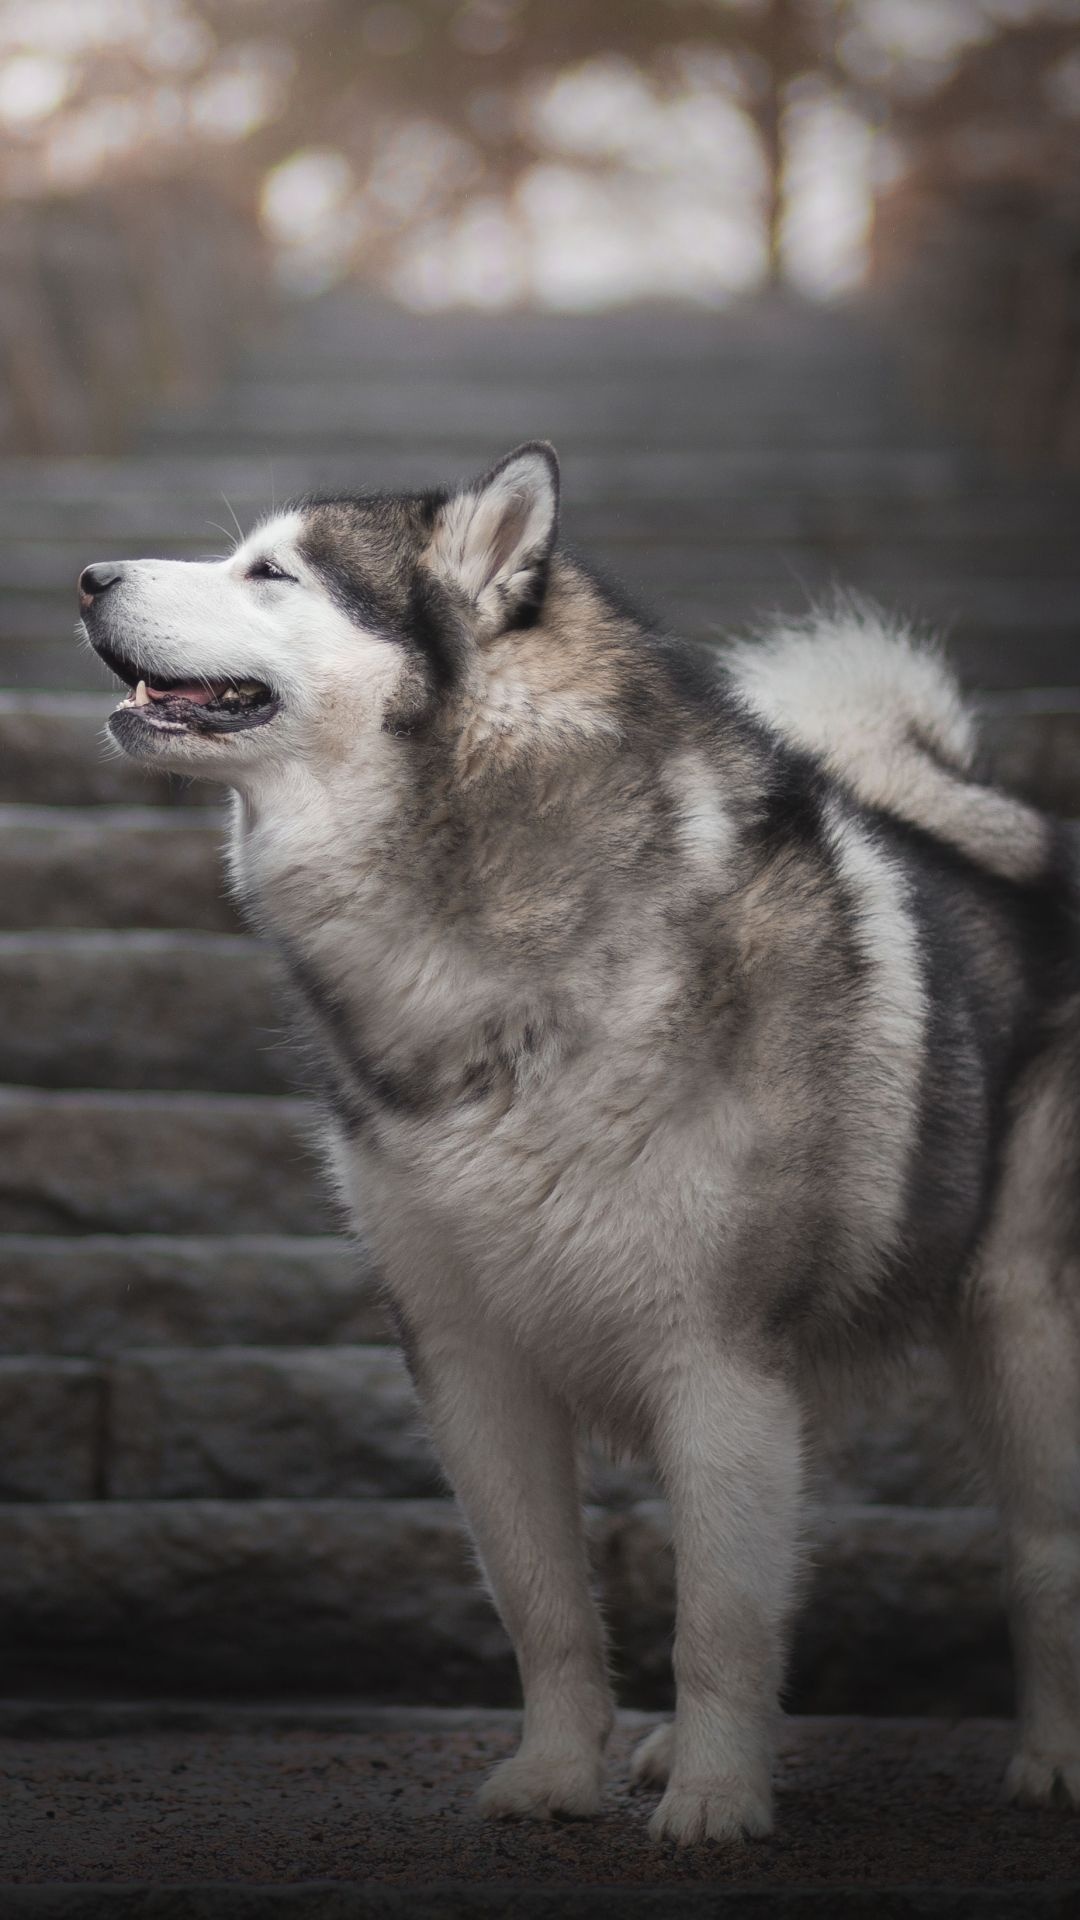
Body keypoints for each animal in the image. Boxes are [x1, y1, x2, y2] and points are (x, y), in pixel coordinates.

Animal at [77, 441, 1076, 1835]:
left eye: (272, 573)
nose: (87, 576)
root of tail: (1013, 832)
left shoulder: (715, 1358)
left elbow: (718, 1617)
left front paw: (716, 1801)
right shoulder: (468, 1359)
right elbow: (546, 1600)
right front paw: (559, 1773)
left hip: (1021, 1328)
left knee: (1043, 1554)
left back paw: (1052, 1756)